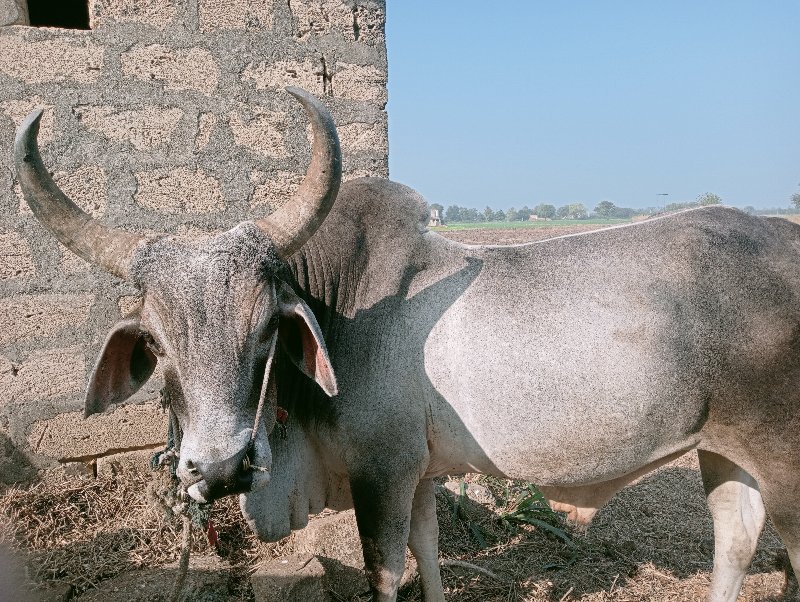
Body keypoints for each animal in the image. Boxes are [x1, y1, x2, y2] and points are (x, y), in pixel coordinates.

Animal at [12, 85, 800, 600]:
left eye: (267, 327)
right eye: (156, 341)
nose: (224, 466)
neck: (335, 304)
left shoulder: (381, 472)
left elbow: (385, 571)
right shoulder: (419, 474)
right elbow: (428, 554)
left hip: (783, 461)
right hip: (722, 450)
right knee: (734, 540)